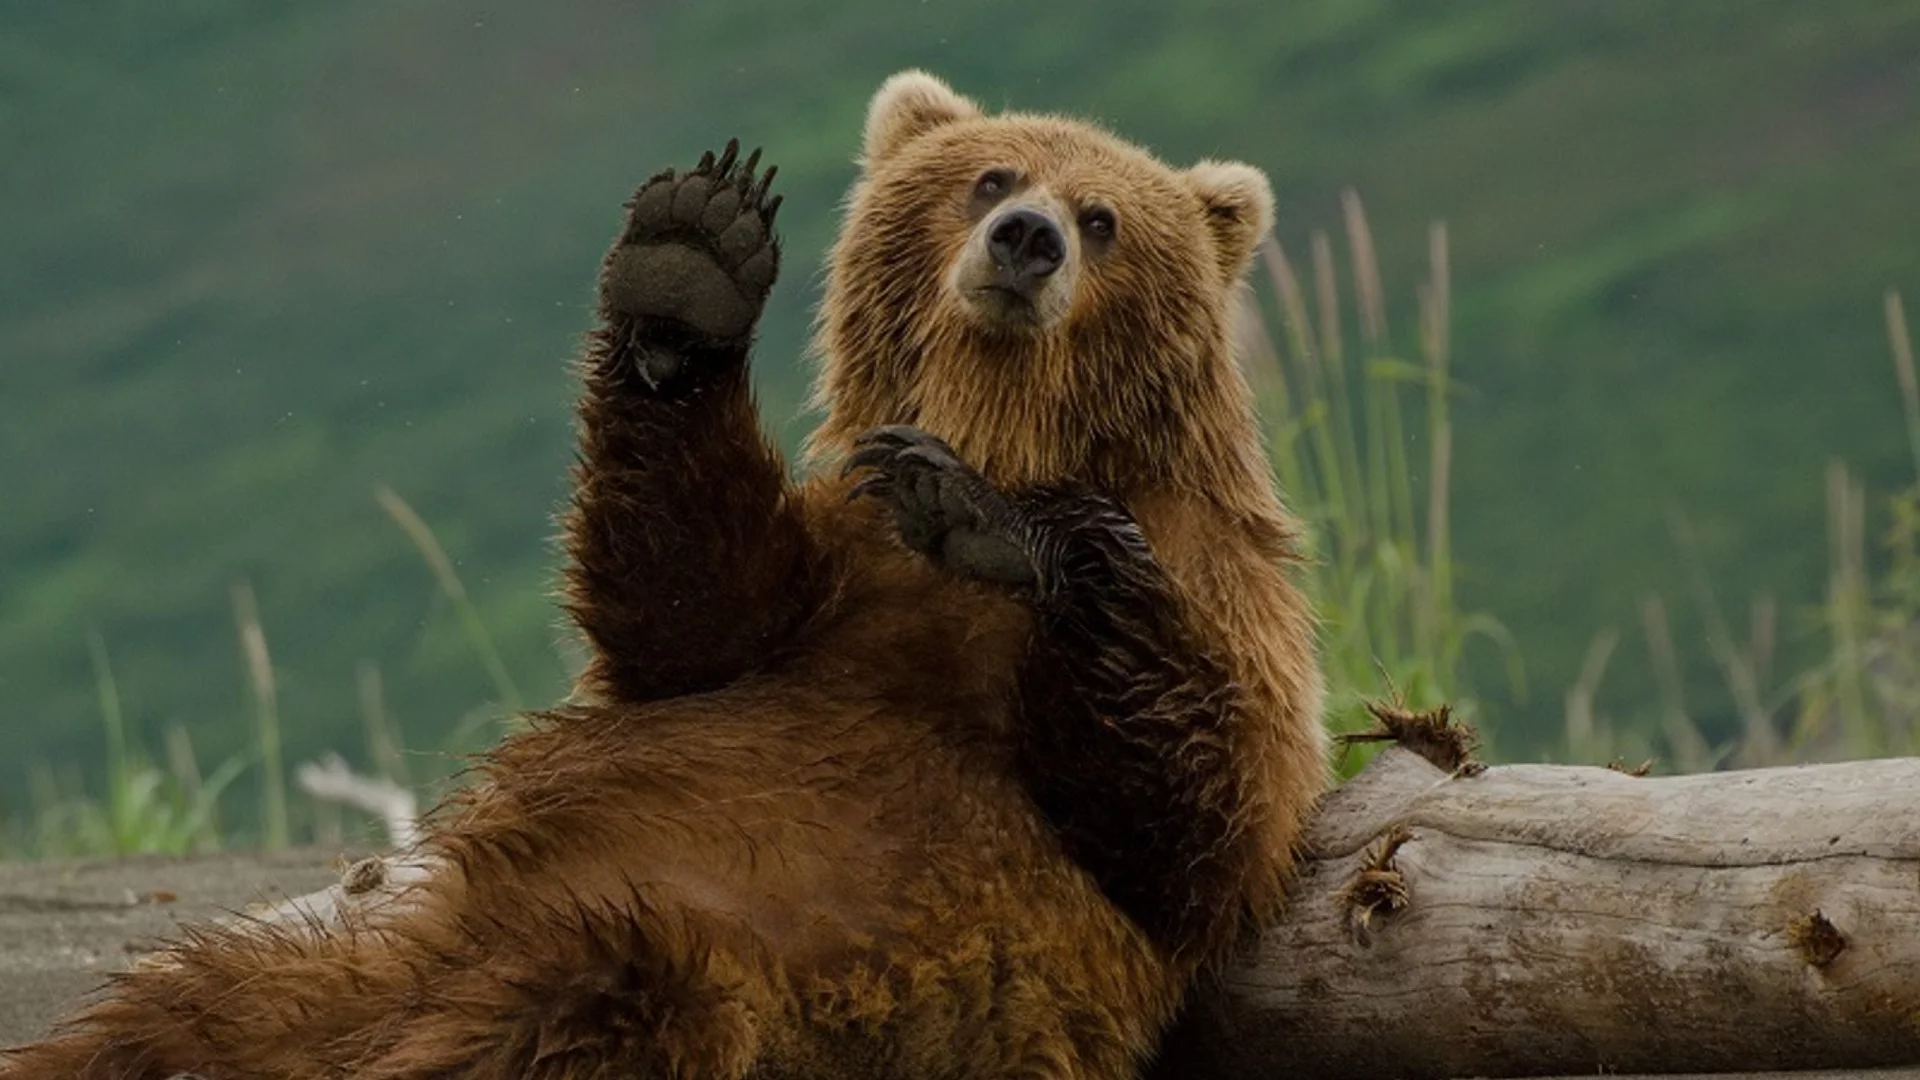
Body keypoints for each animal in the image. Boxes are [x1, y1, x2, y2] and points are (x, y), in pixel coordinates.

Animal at [0, 71, 1328, 1068]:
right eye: (990, 177)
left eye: (1103, 215)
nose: (1028, 238)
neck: (1004, 421)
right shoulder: (831, 570)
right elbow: (687, 605)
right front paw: (692, 264)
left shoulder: (1225, 598)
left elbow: (1197, 821)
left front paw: (997, 519)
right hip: (319, 964)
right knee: (162, 1012)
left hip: (697, 968)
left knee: (565, 1007)